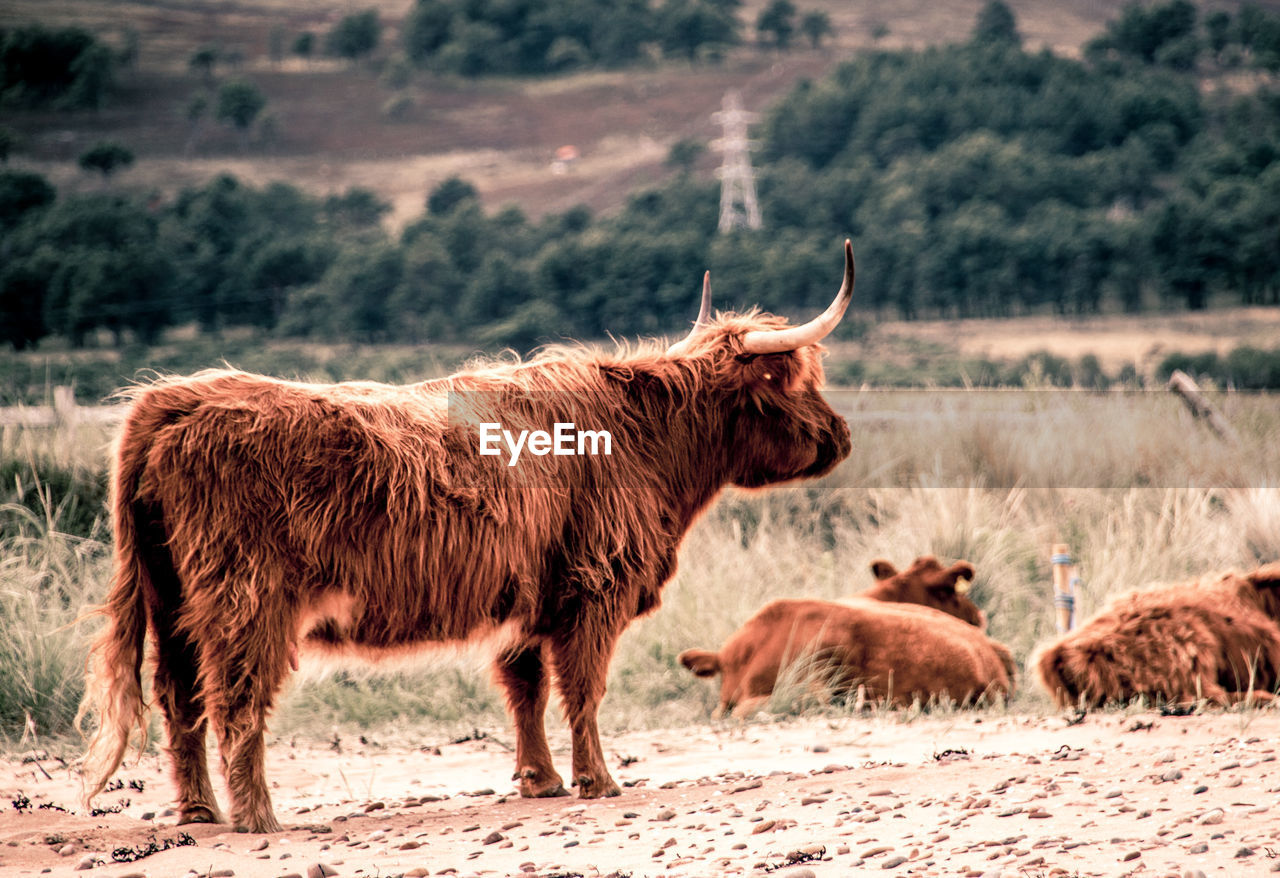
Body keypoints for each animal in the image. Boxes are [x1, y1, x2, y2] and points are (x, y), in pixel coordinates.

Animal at [77, 244, 860, 834]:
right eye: (792, 378)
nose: (842, 437)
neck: (645, 436)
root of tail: (175, 398)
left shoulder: (532, 595)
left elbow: (526, 688)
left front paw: (541, 780)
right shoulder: (594, 588)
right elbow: (583, 688)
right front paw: (599, 780)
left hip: (170, 598)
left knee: (178, 697)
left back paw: (198, 811)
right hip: (247, 599)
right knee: (235, 697)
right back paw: (258, 817)